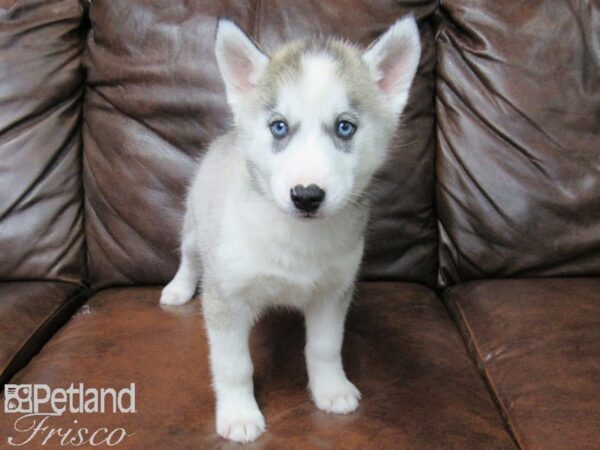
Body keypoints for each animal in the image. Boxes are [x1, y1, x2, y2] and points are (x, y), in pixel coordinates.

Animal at [162, 16, 420, 442]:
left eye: (345, 127)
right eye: (279, 127)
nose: (306, 195)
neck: (296, 237)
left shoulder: (333, 291)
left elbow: (325, 348)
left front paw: (331, 389)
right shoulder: (226, 296)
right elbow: (234, 364)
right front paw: (239, 414)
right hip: (196, 228)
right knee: (189, 257)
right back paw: (178, 289)